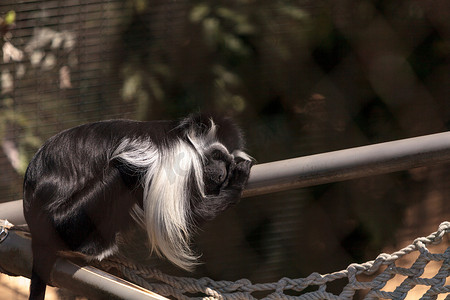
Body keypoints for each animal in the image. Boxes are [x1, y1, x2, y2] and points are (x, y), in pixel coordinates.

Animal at [22, 113, 253, 298]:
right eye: (216, 155)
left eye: (226, 163)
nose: (222, 173)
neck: (185, 138)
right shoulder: (179, 159)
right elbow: (189, 215)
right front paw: (238, 179)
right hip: (63, 222)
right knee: (124, 170)